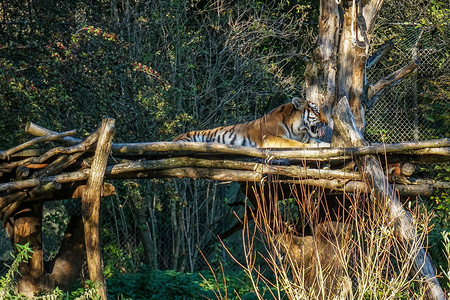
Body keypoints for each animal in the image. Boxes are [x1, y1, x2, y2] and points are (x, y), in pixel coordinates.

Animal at [174, 97, 328, 148]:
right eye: (317, 111)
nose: (326, 122)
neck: (298, 130)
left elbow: (320, 142)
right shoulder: (270, 138)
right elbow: (294, 144)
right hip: (188, 139)